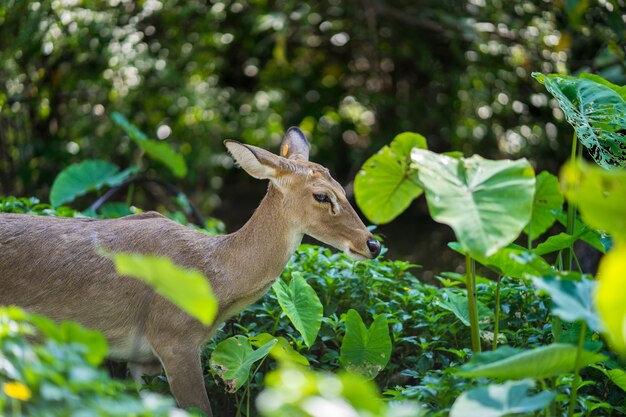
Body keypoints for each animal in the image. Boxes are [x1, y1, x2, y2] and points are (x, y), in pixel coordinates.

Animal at [0, 127, 380, 416]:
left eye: (341, 188)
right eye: (322, 196)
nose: (372, 244)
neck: (215, 277)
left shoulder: (143, 360)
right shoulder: (173, 336)